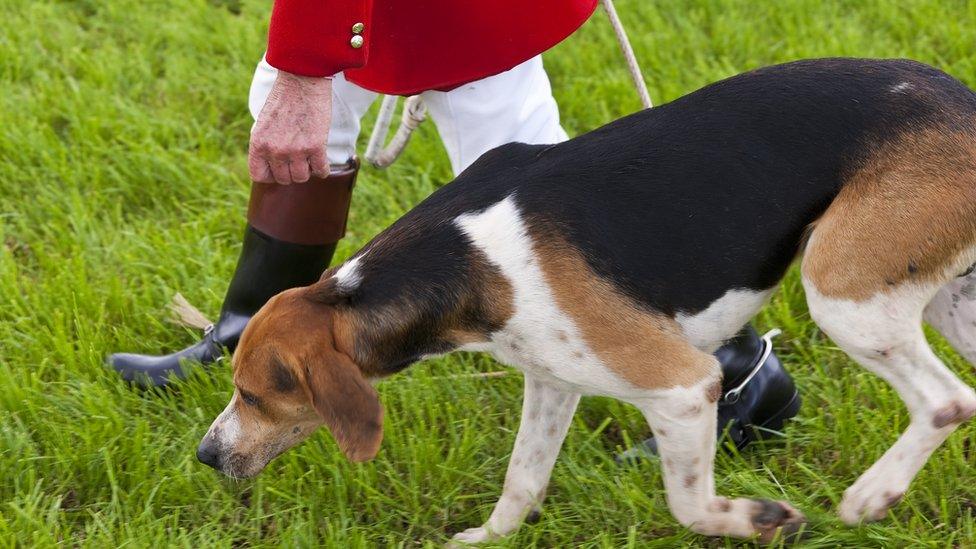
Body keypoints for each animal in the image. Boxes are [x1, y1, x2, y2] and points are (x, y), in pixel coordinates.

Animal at [194, 58, 976, 540]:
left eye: (256, 395)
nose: (205, 455)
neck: (461, 259)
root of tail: (962, 100)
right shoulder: (551, 380)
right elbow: (521, 481)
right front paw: (483, 540)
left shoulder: (684, 388)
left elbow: (689, 504)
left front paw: (755, 518)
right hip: (947, 302)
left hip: (844, 292)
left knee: (947, 400)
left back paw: (873, 493)